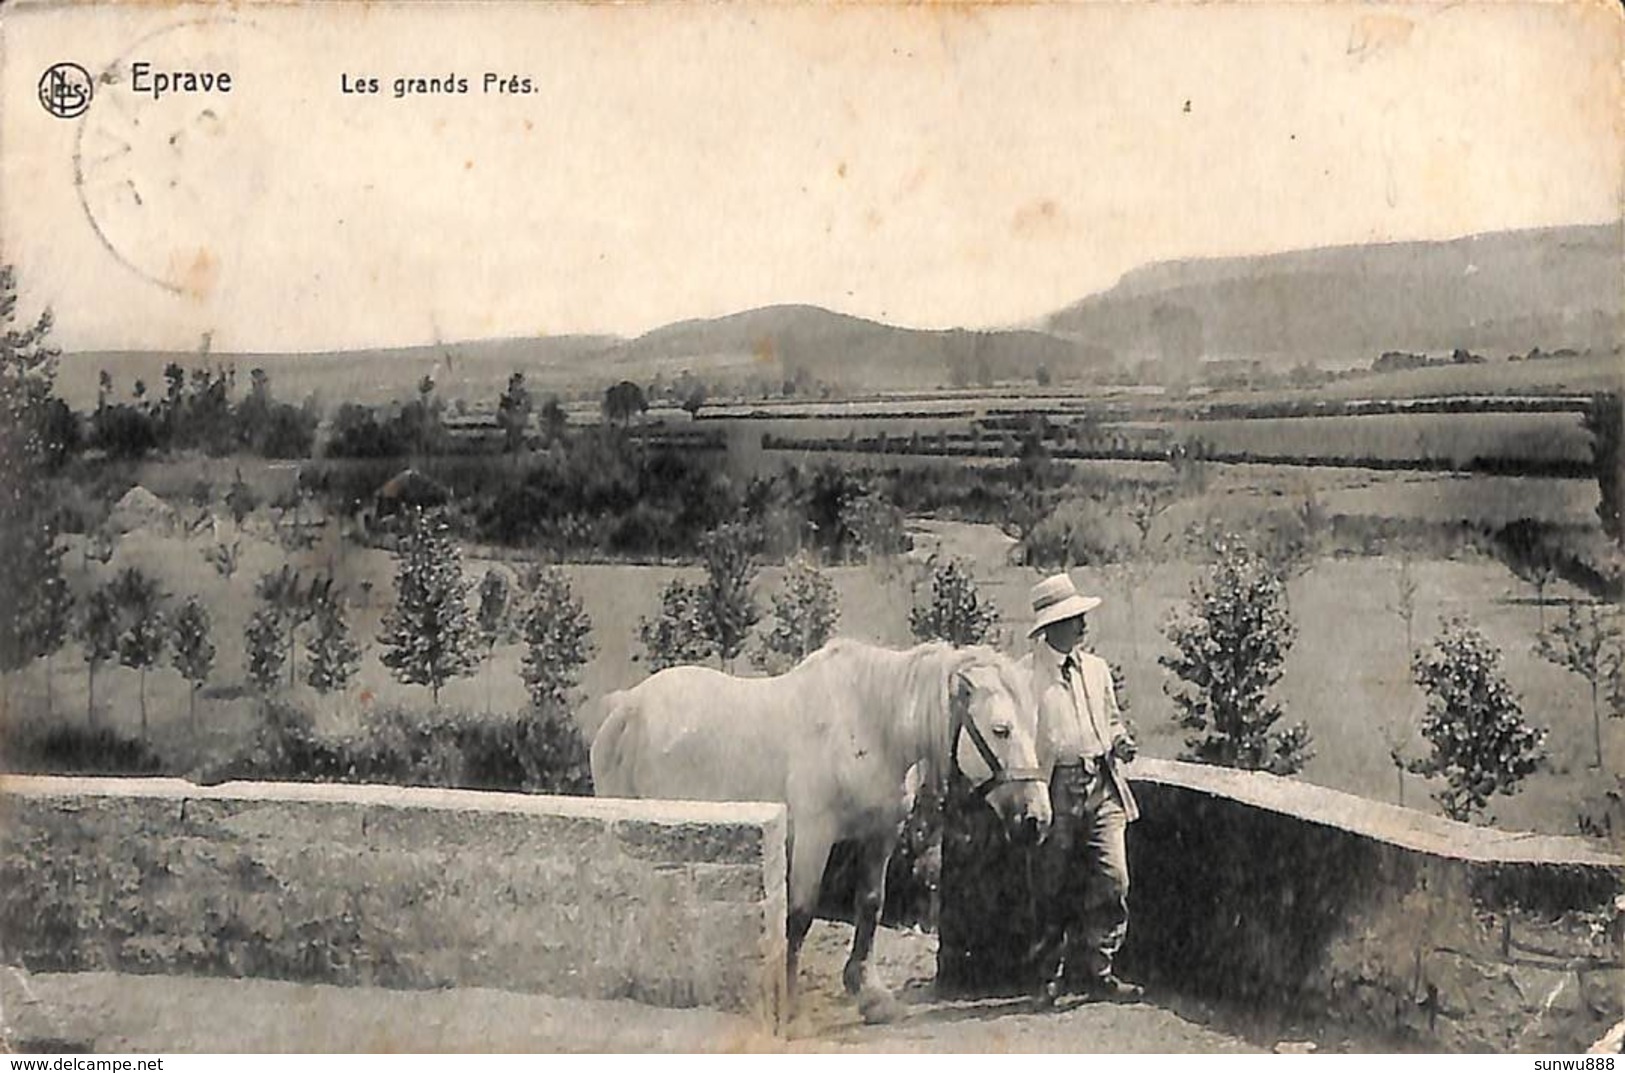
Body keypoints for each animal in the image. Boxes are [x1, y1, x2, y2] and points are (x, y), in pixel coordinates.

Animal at [591, 637, 1046, 1020]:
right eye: (1001, 730)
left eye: (1034, 726)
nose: (1037, 820)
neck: (869, 727)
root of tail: (624, 706)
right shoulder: (814, 836)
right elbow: (799, 914)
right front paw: (788, 1000)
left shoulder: (880, 836)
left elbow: (870, 905)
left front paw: (868, 992)